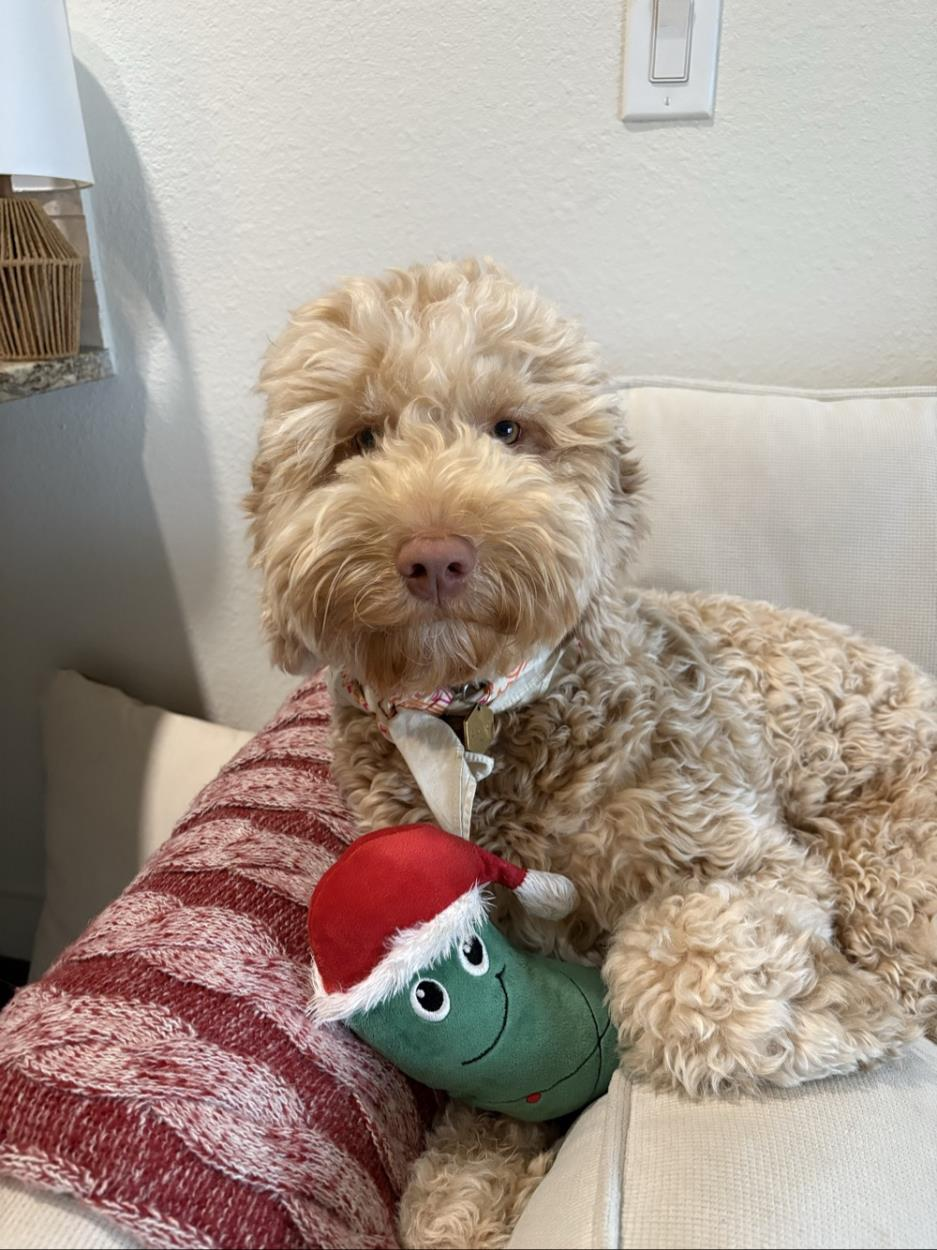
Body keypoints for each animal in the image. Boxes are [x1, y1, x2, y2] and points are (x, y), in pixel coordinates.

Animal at [246, 258, 937, 1249]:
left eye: (509, 429)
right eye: (359, 438)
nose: (435, 556)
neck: (475, 718)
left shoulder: (736, 856)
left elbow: (670, 980)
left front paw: (841, 1015)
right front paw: (467, 1180)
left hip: (888, 865)